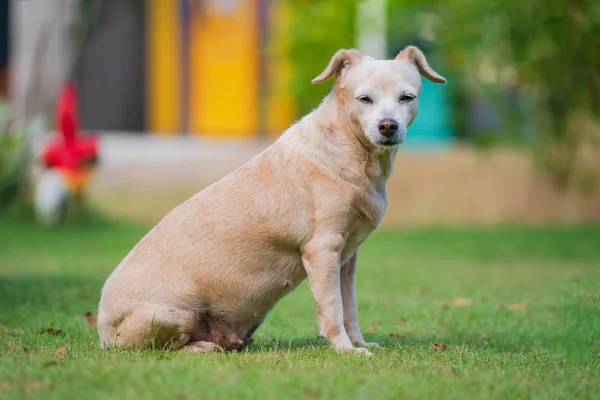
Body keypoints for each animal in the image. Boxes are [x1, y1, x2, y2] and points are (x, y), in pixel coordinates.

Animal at [97, 47, 446, 356]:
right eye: (364, 99)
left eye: (407, 97)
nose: (388, 126)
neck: (349, 149)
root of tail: (102, 333)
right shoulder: (322, 251)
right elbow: (333, 309)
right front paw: (346, 351)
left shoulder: (347, 259)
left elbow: (350, 308)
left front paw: (360, 343)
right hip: (172, 315)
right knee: (165, 348)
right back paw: (201, 347)